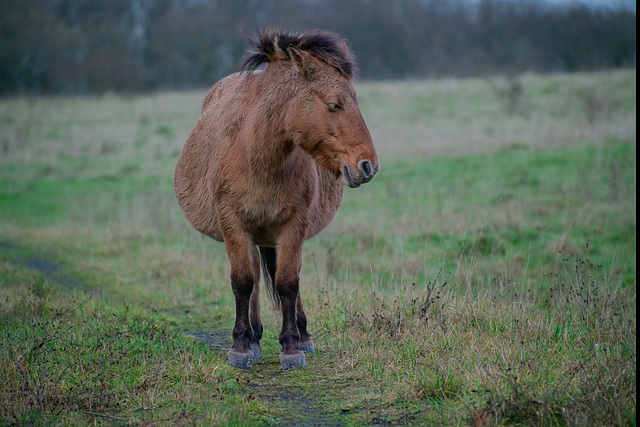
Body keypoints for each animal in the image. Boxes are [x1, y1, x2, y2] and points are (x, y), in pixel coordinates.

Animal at [175, 29, 378, 372]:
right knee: (255, 277)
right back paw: (254, 336)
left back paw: (301, 334)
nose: (368, 166)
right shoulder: (233, 223)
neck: (255, 156)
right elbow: (243, 281)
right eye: (334, 104)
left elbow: (287, 282)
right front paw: (241, 346)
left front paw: (292, 346)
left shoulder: (293, 224)